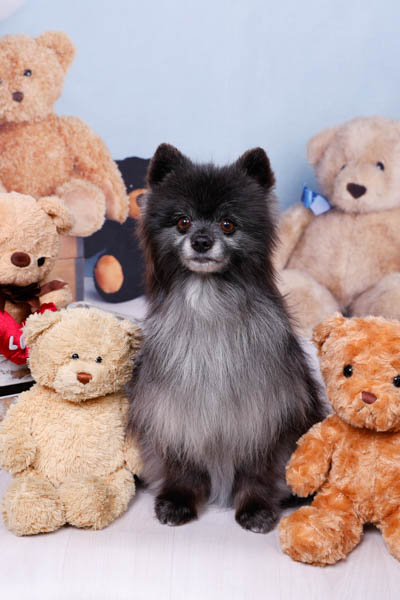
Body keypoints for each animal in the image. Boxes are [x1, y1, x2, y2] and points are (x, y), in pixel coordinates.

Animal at [127, 144, 325, 533]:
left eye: (228, 224)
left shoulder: (261, 416)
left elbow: (256, 472)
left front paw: (256, 507)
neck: (209, 303)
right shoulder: (177, 412)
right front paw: (178, 499)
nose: (202, 241)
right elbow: (183, 466)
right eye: (183, 222)